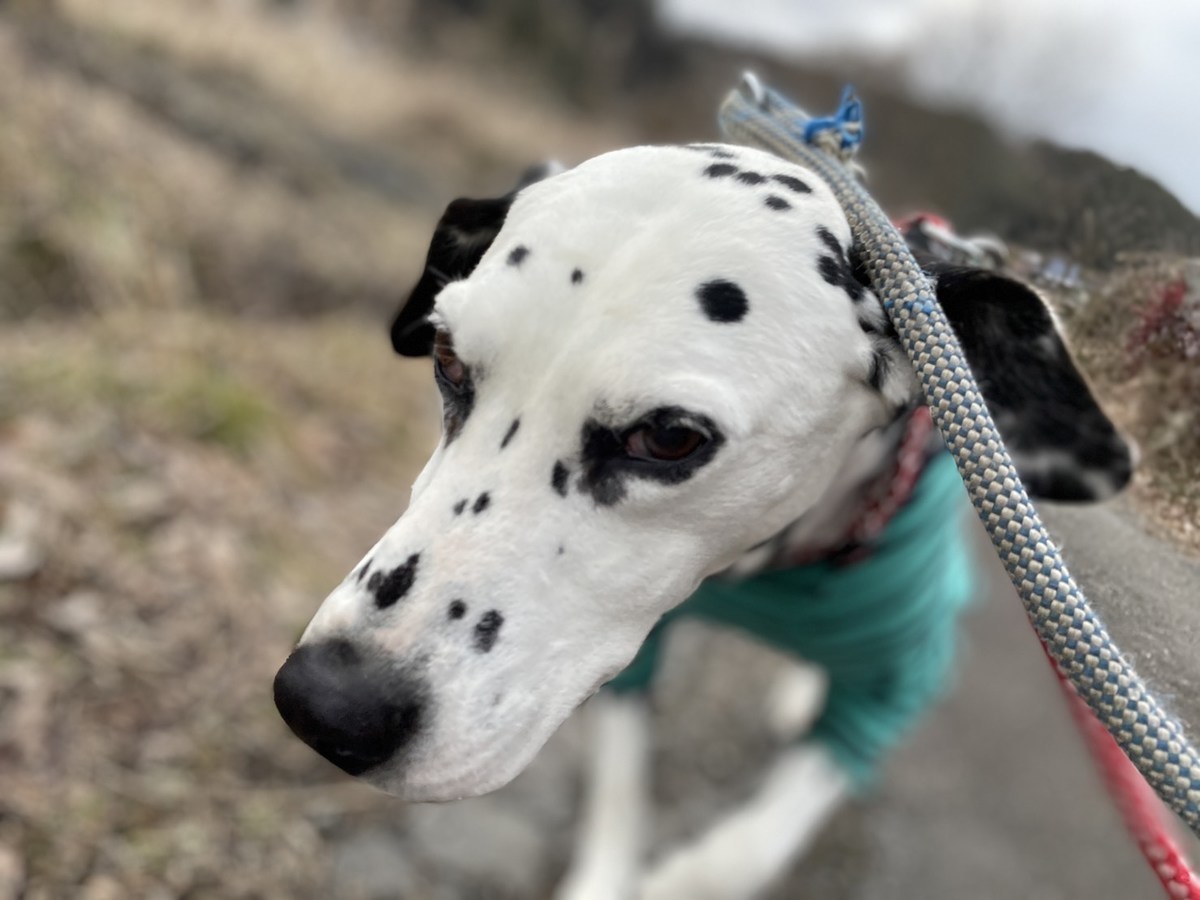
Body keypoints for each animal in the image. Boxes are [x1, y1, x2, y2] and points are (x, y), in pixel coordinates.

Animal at [274, 144, 1132, 897]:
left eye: (669, 437)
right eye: (447, 359)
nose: (325, 705)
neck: (763, 569)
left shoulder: (896, 685)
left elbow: (740, 855)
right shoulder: (631, 667)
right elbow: (621, 791)